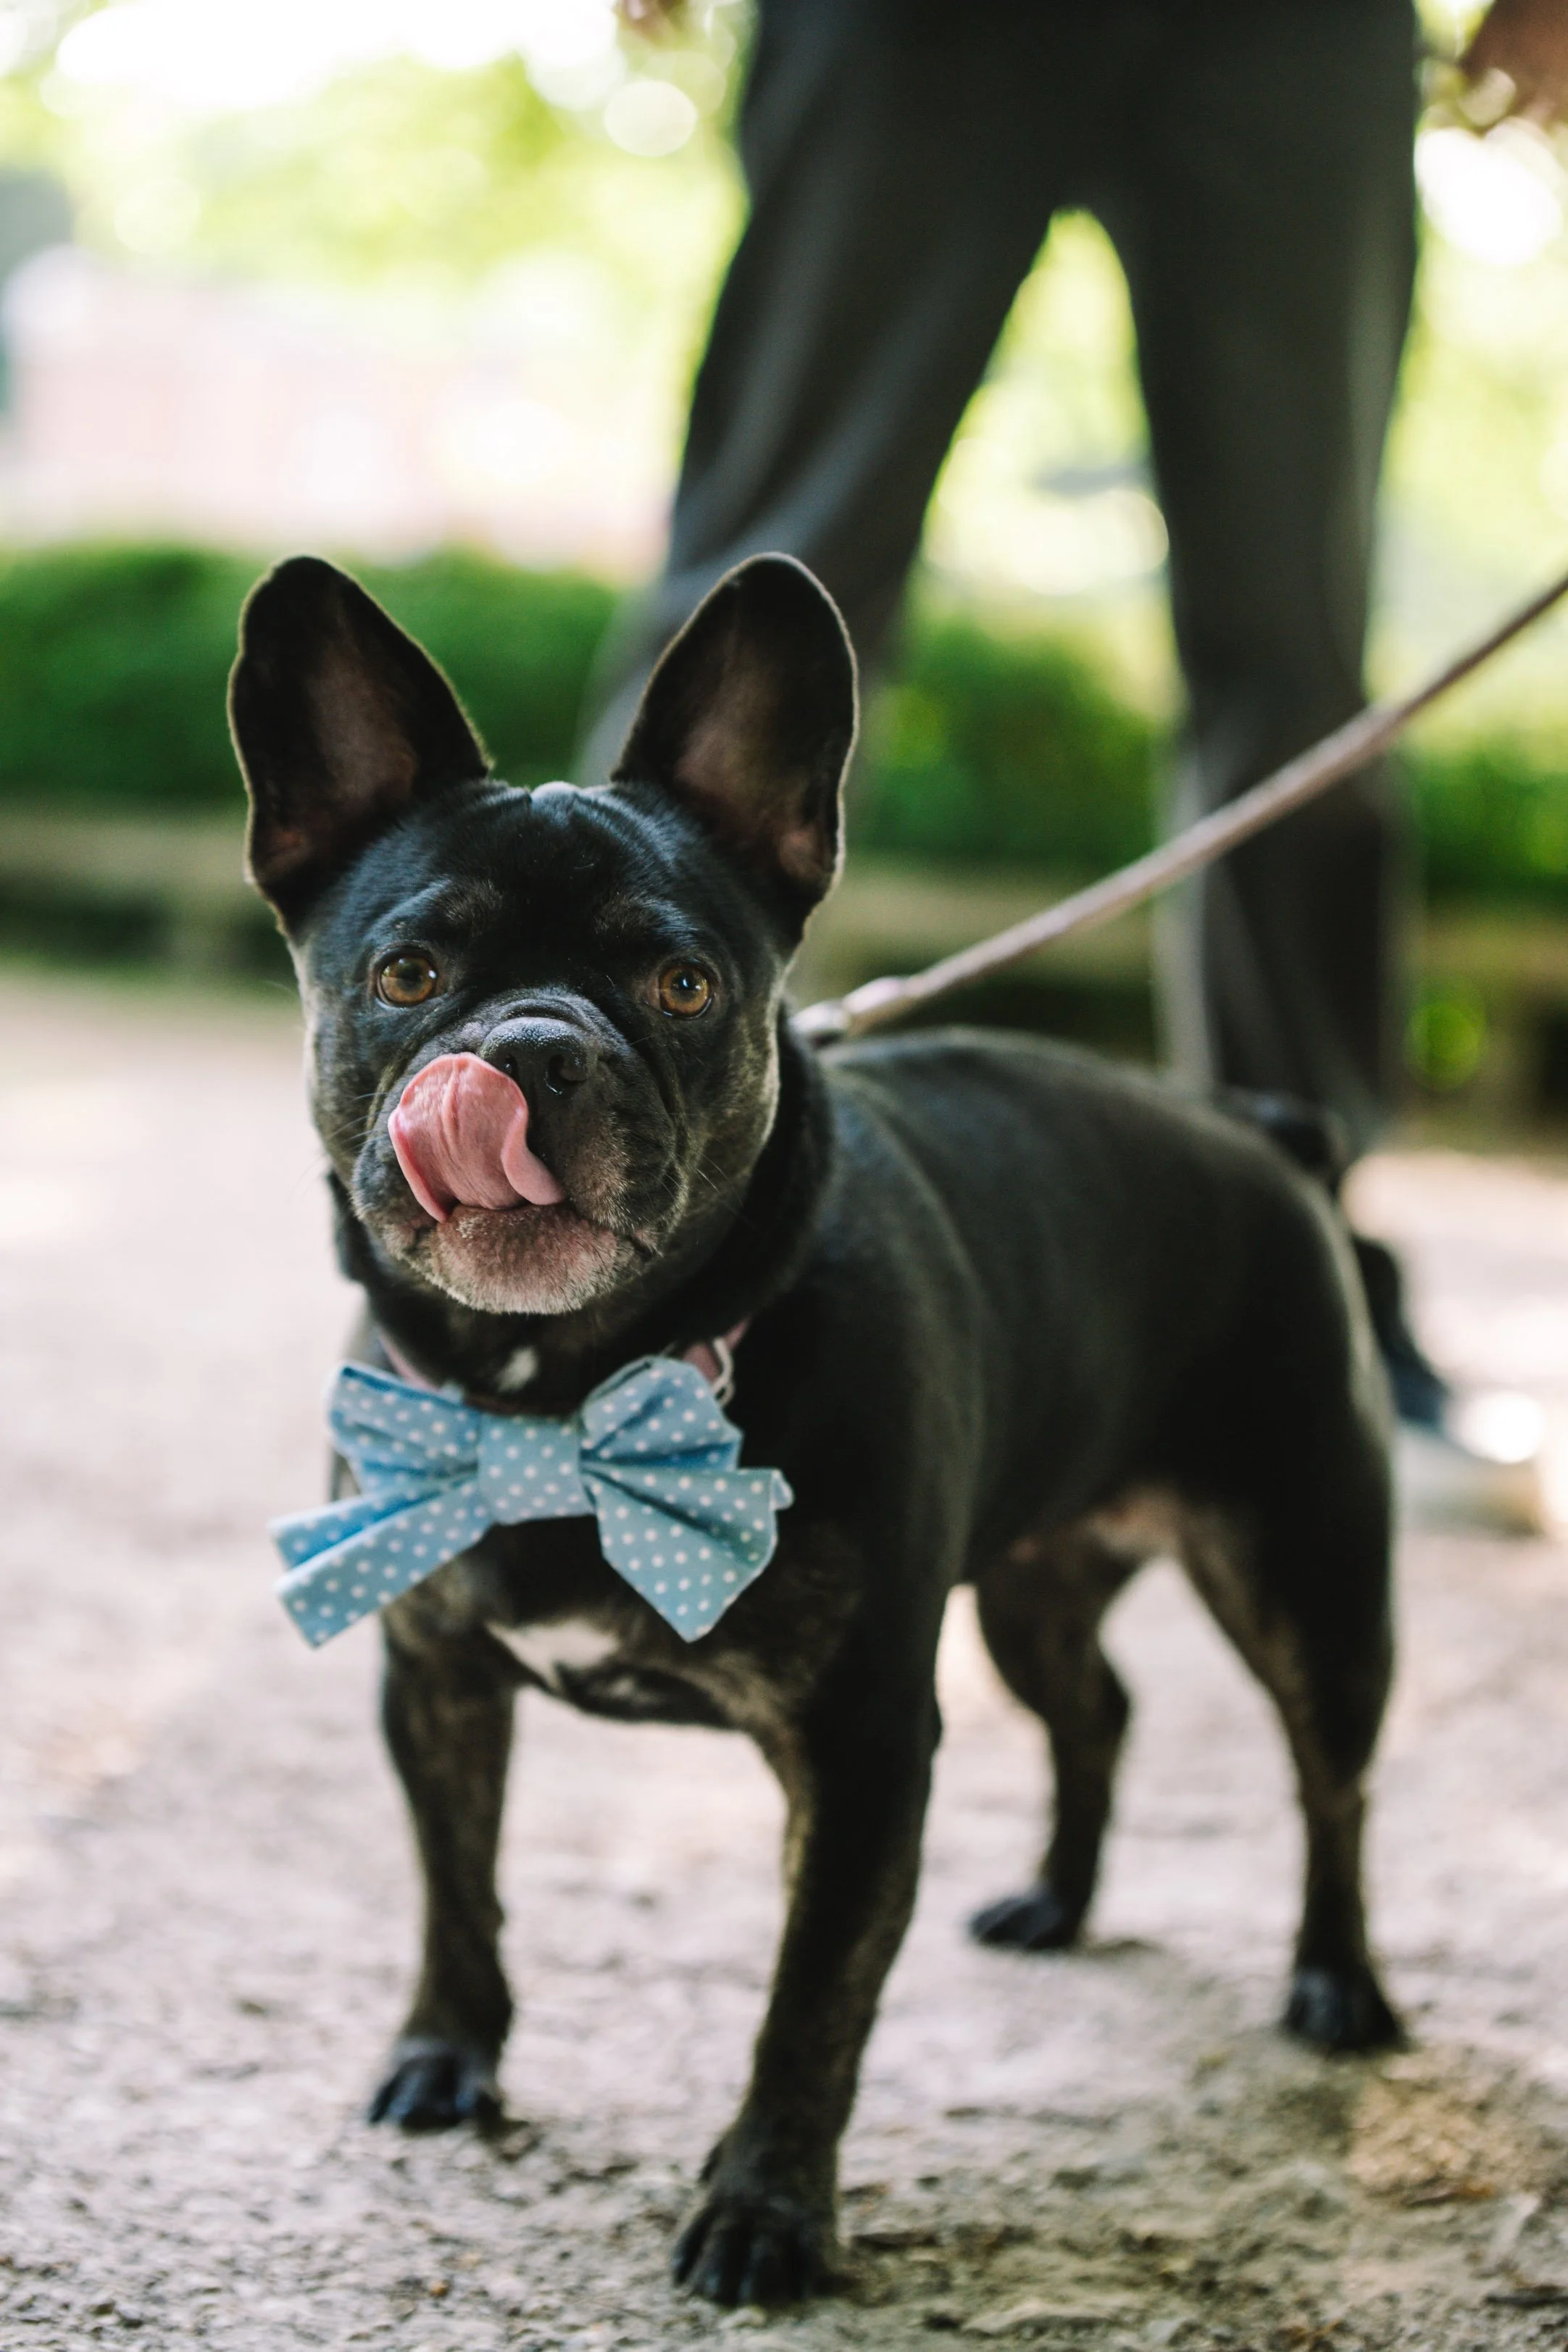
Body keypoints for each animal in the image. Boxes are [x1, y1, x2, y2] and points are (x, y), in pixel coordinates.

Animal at [231, 550, 1398, 2308]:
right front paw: (443, 2056)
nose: (529, 1047)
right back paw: (1055, 1902)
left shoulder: (856, 1752)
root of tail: (1258, 1136)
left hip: (1306, 1576)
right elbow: (458, 1892)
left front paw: (763, 2212)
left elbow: (808, 2010)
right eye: (407, 976)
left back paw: (1337, 1987)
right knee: (1096, 1712)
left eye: (683, 984)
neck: (563, 1399)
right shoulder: (432, 1685)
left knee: (1329, 1787)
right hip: (1031, 1587)